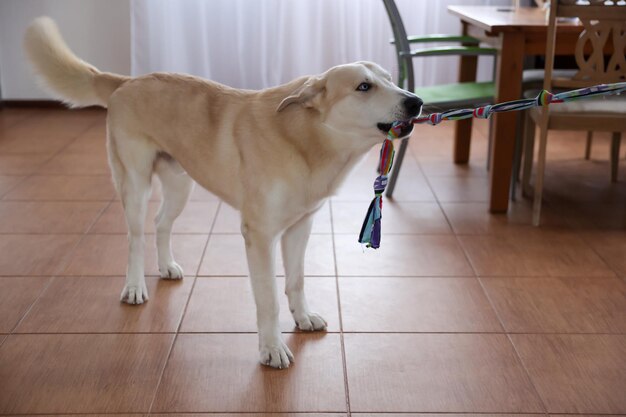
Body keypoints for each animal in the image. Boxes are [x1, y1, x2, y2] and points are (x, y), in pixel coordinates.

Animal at [26, 16, 422, 368]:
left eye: (391, 79)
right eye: (363, 87)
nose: (416, 101)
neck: (305, 138)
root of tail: (127, 81)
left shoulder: (299, 227)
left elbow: (296, 281)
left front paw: (303, 317)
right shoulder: (259, 236)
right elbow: (268, 300)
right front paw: (271, 349)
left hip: (181, 185)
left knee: (161, 223)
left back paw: (166, 266)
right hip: (135, 184)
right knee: (135, 237)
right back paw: (135, 287)